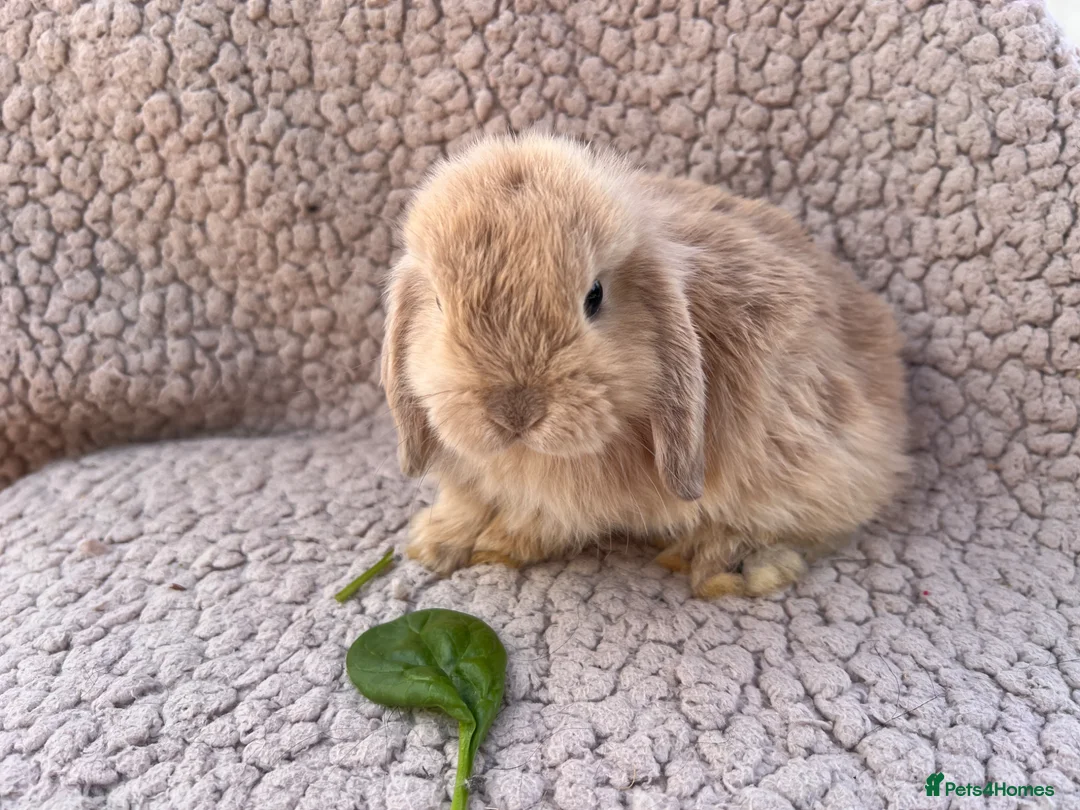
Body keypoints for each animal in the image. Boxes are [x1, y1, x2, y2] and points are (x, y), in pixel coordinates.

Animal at [380, 132, 910, 599]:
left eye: (594, 296)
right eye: (439, 303)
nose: (516, 411)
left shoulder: (574, 498)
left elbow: (545, 518)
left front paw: (498, 545)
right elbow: (468, 502)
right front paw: (433, 542)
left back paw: (724, 561)